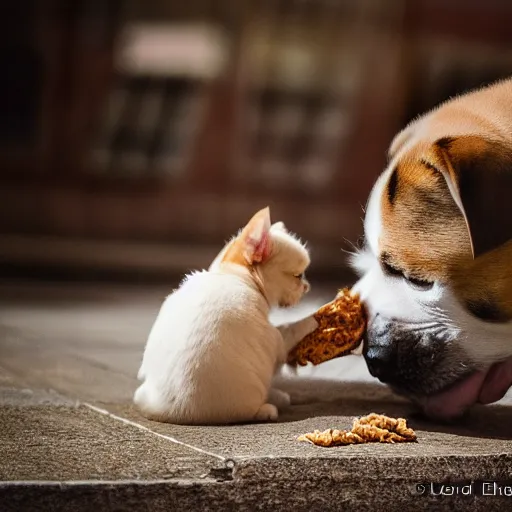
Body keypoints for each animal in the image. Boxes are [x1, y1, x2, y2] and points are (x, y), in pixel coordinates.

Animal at [133, 205, 316, 424]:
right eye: (298, 276)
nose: (307, 287)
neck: (234, 274)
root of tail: (175, 412)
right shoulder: (276, 340)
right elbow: (290, 328)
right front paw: (316, 318)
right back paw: (272, 405)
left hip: (142, 395)